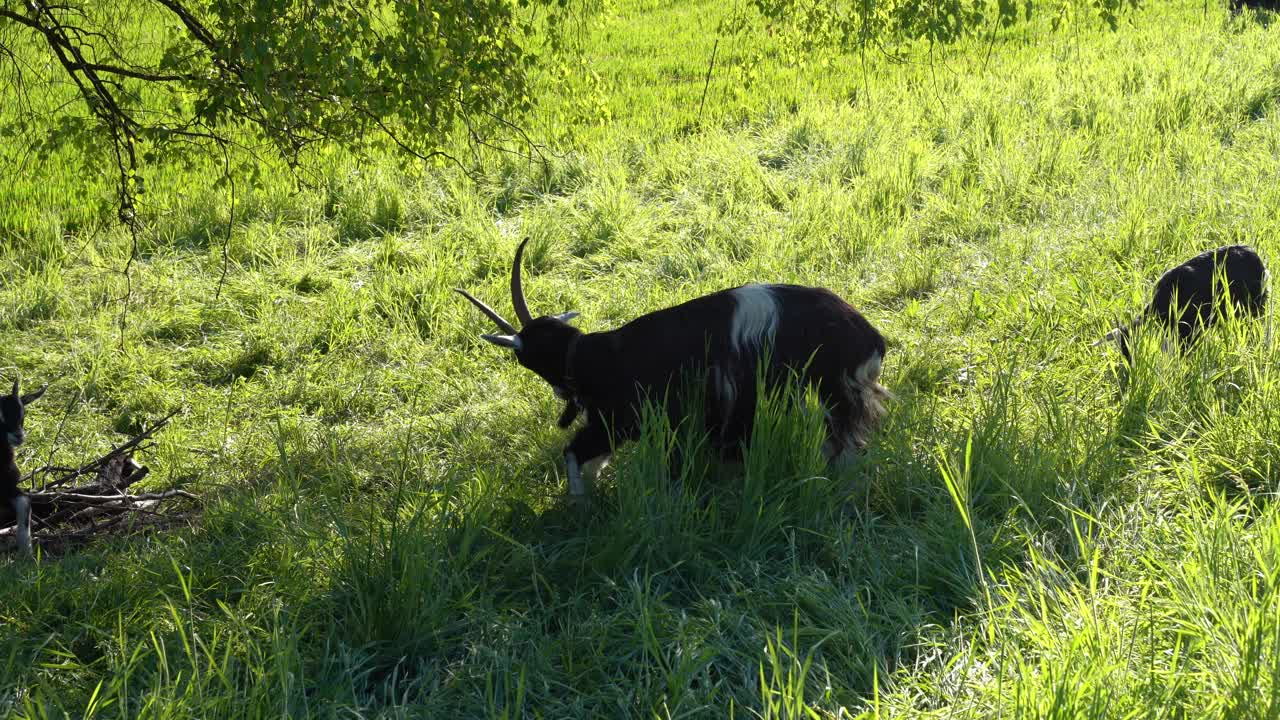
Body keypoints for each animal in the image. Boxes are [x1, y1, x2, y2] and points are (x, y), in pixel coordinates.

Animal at [458, 238, 890, 497]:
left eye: (521, 356)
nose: (561, 392)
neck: (590, 355)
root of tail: (868, 336)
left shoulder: (625, 419)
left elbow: (576, 453)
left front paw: (580, 509)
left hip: (833, 390)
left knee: (842, 442)